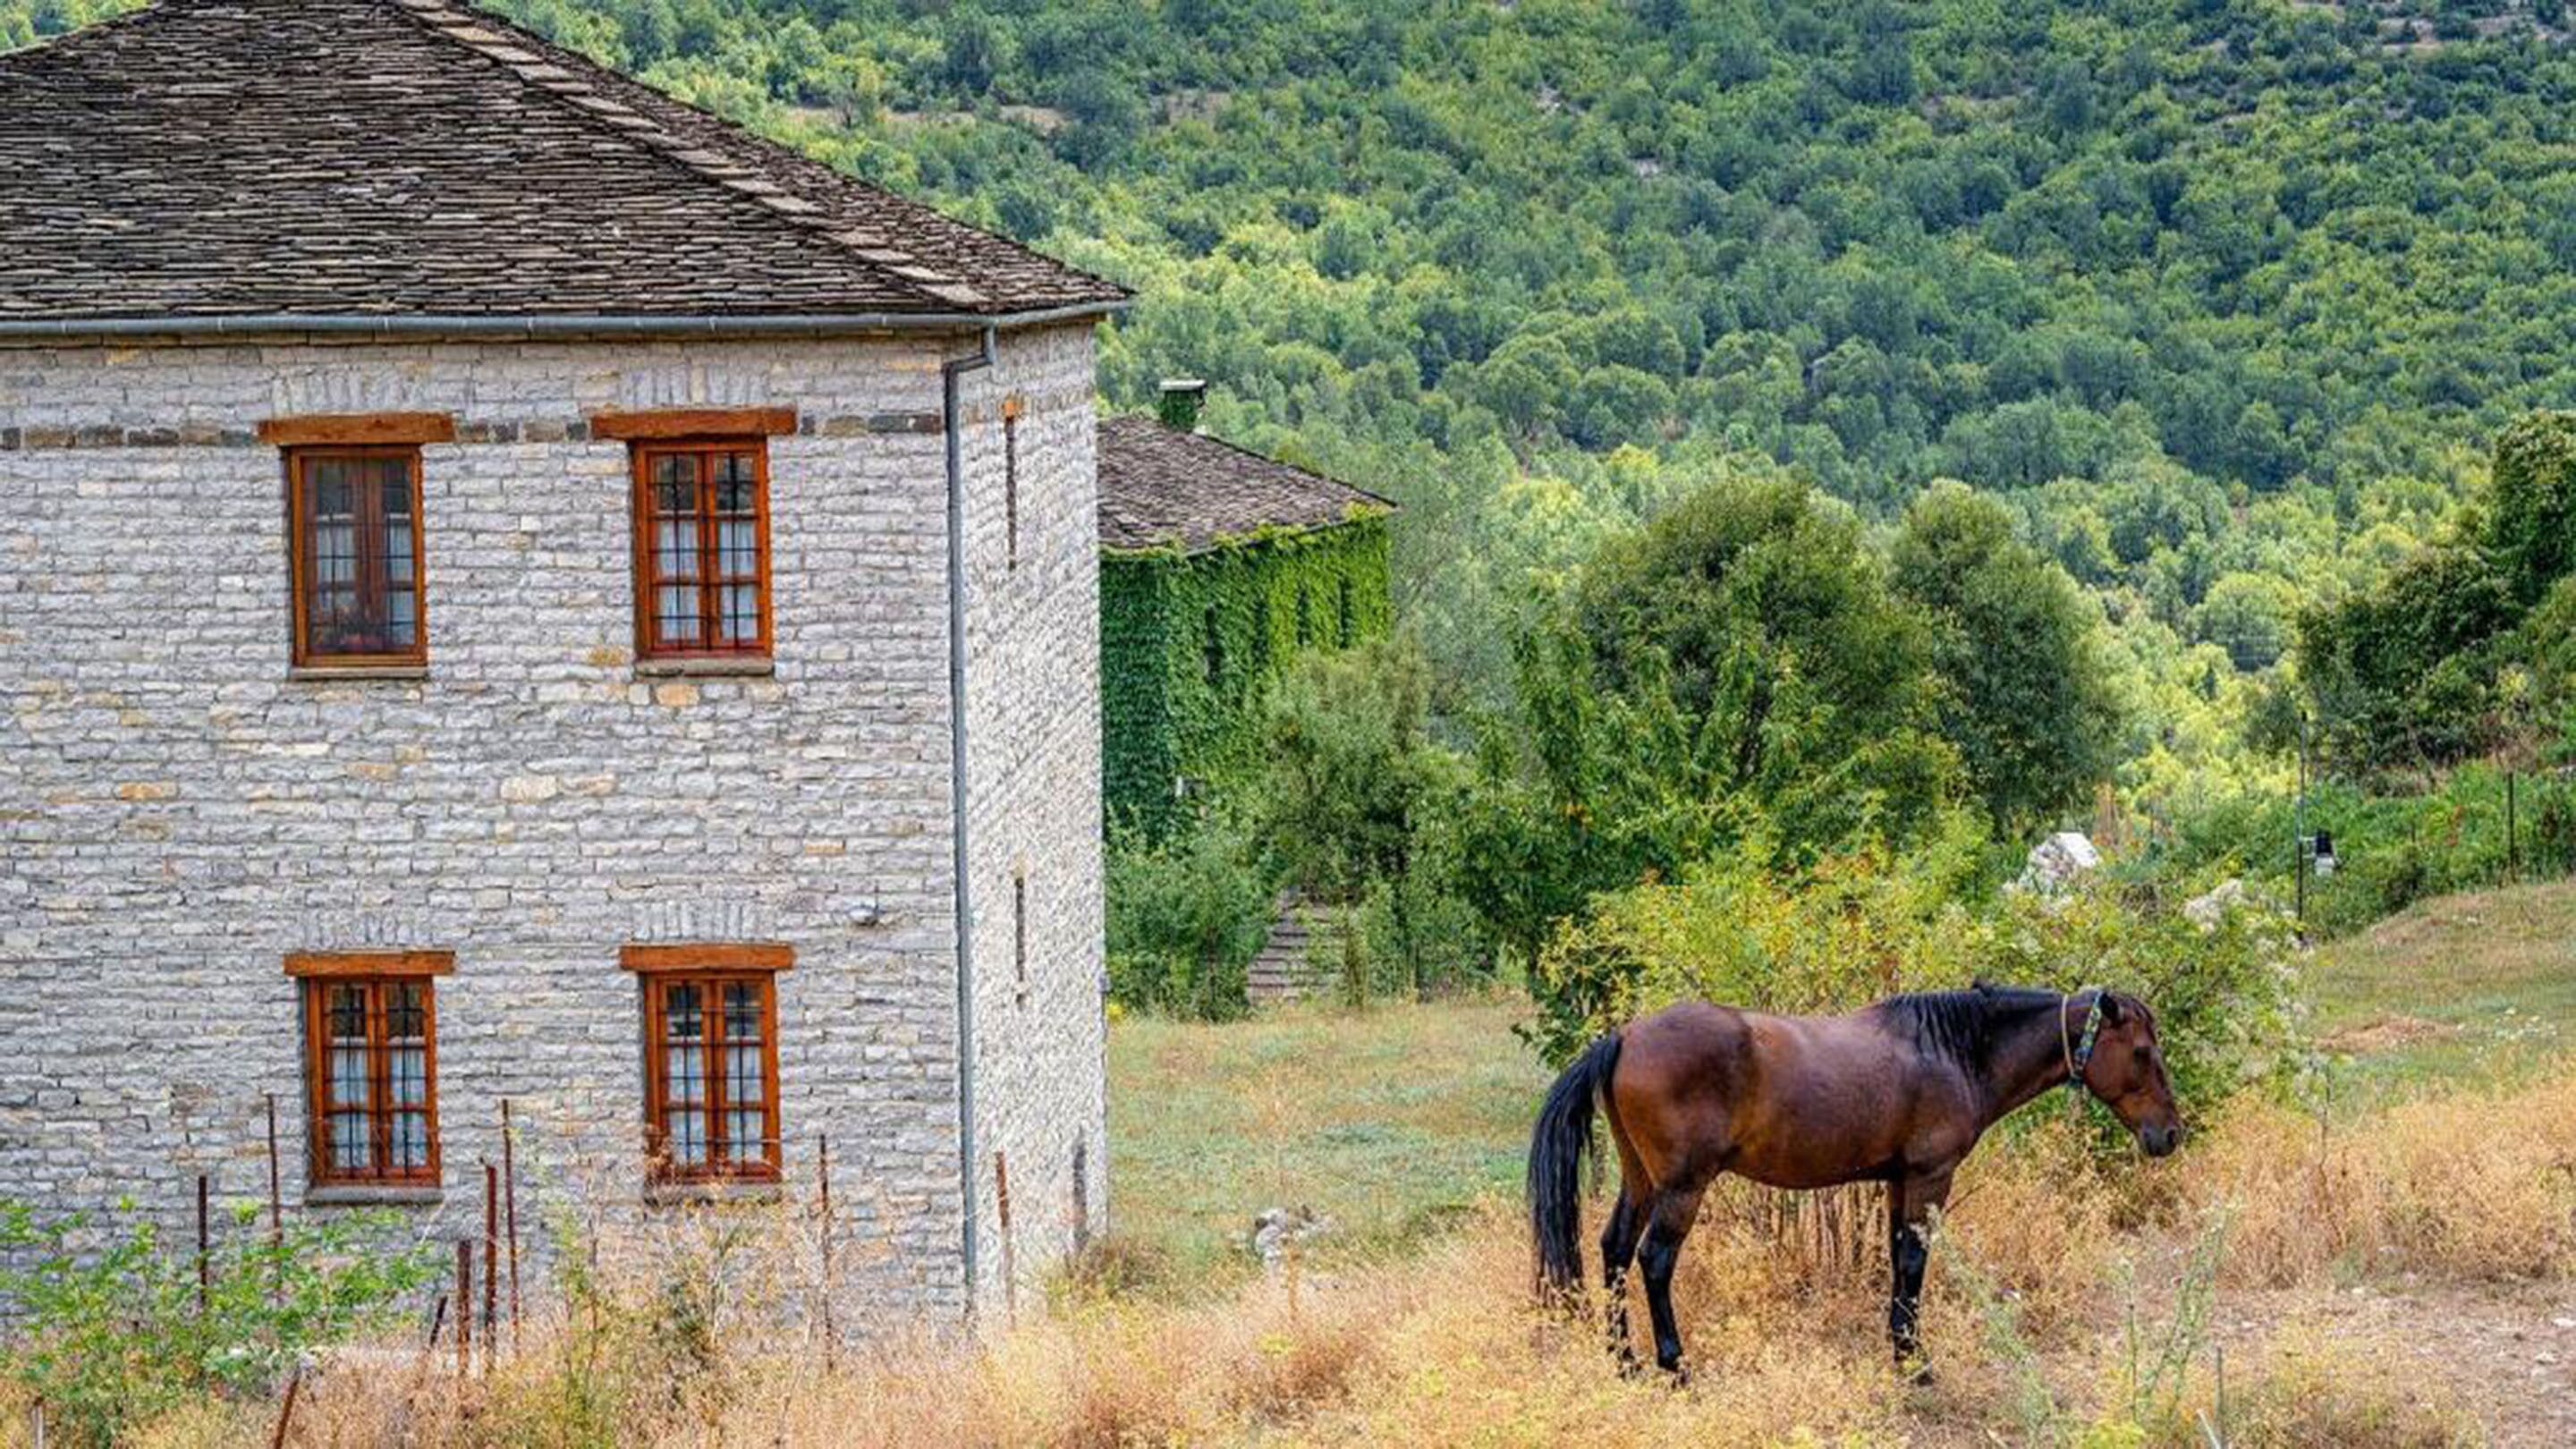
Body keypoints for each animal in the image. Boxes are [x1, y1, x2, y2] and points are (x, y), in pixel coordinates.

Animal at [1526, 983, 2182, 1380]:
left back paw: (1625, 1362)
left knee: (1613, 1250)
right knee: (1654, 1260)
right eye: (2142, 1052)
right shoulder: (1929, 1178)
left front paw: (1900, 1349)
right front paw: (1915, 1363)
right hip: (1682, 1187)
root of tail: (1624, 1036)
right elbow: (1915, 1263)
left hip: (1641, 1180)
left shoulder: (1898, 1181)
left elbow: (1897, 1261)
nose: (2170, 1134)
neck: (1953, 1051)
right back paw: (1673, 1364)